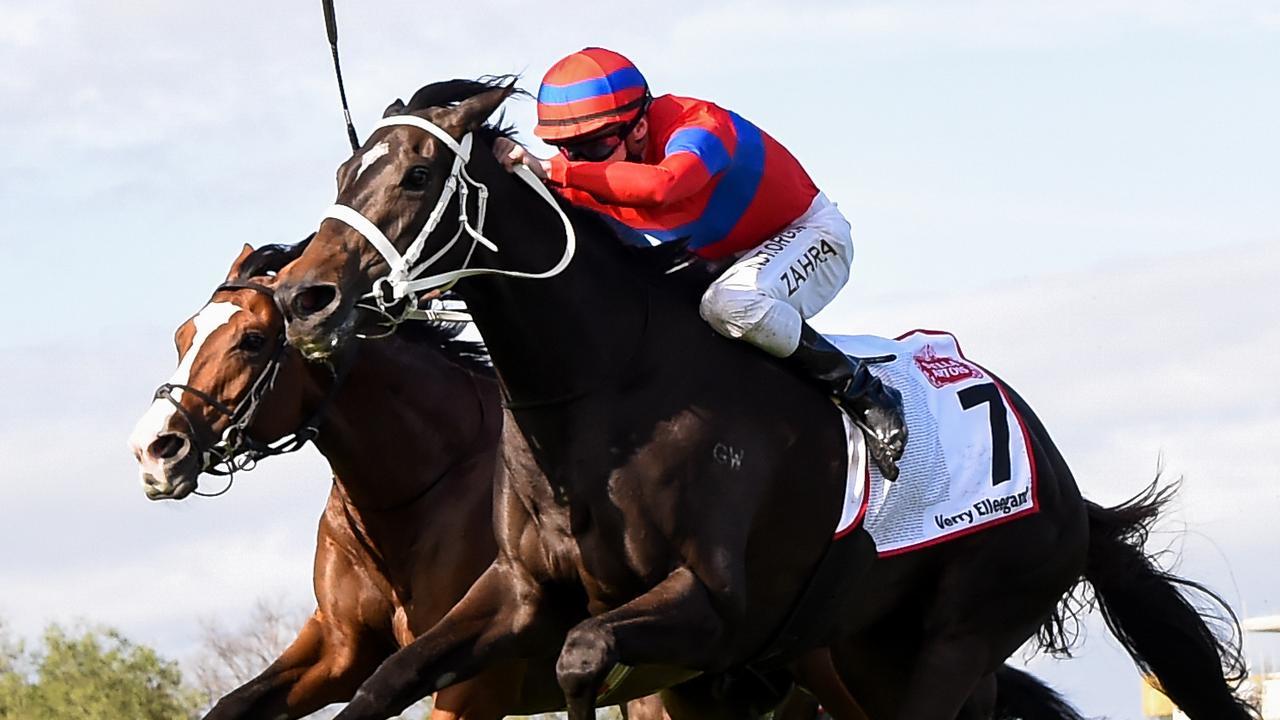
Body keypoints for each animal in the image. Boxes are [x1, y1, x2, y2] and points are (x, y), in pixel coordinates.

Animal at [272, 77, 1259, 717]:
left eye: (414, 176)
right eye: (340, 179)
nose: (301, 297)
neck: (600, 393)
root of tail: (1062, 484)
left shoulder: (711, 609)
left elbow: (584, 661)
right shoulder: (518, 595)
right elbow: (386, 681)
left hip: (959, 636)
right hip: (873, 652)